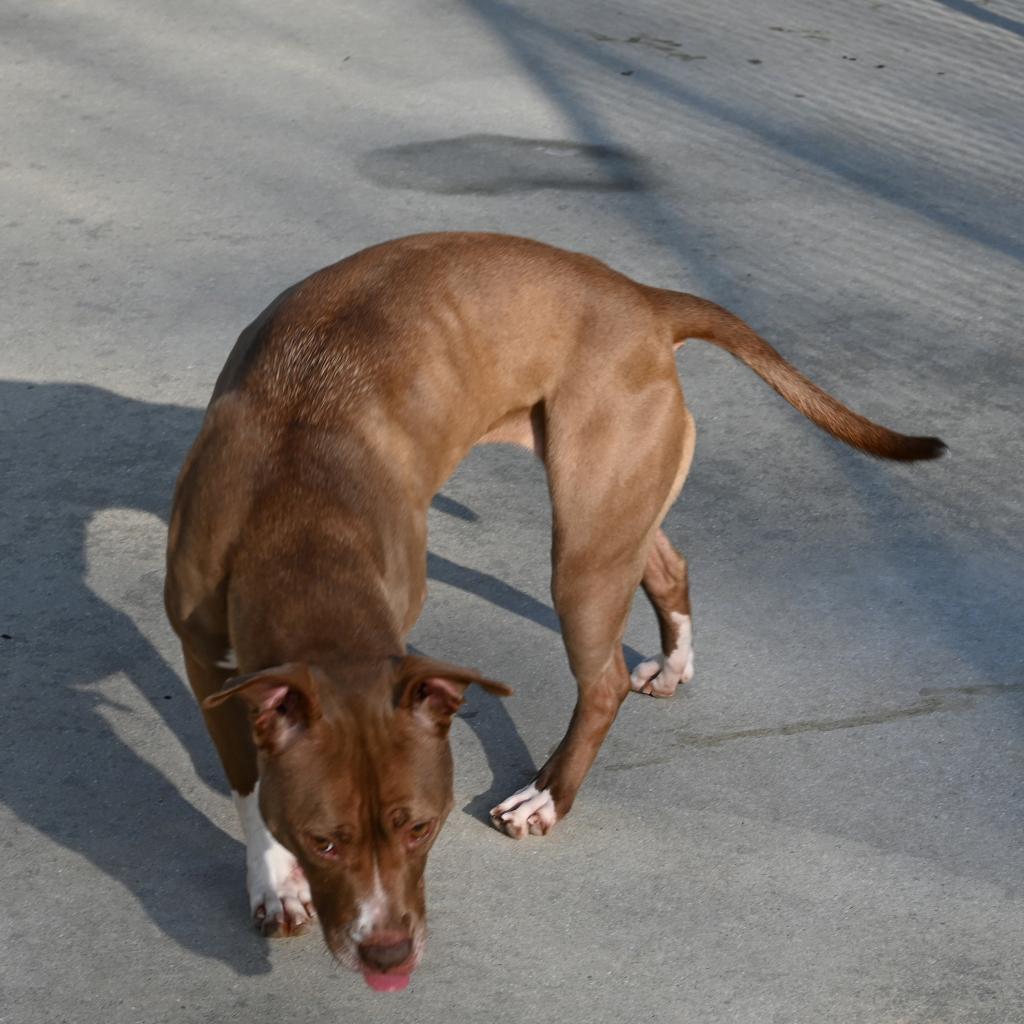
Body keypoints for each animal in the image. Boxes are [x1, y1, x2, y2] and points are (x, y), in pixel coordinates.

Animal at [161, 230, 942, 983]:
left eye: (422, 827)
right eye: (323, 840)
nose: (389, 955)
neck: (299, 515)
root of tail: (644, 300)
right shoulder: (207, 665)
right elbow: (246, 781)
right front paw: (275, 883)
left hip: (585, 546)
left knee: (602, 681)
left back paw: (547, 796)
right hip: (614, 520)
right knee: (667, 568)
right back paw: (672, 662)